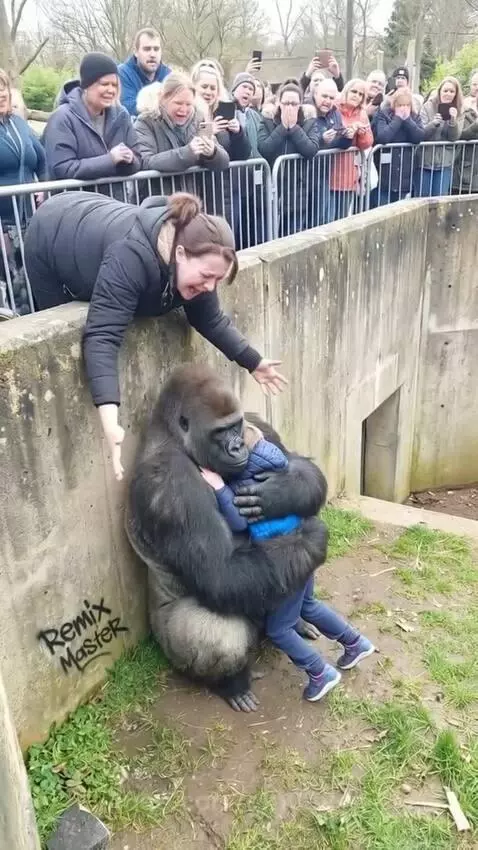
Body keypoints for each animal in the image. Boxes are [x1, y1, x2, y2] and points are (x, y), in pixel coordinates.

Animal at [126, 364, 328, 711]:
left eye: (235, 426)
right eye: (219, 432)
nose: (237, 447)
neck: (175, 438)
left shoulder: (255, 421)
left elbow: (303, 466)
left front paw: (280, 493)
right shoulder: (170, 481)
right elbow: (220, 572)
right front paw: (313, 538)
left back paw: (299, 621)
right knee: (214, 632)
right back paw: (233, 683)